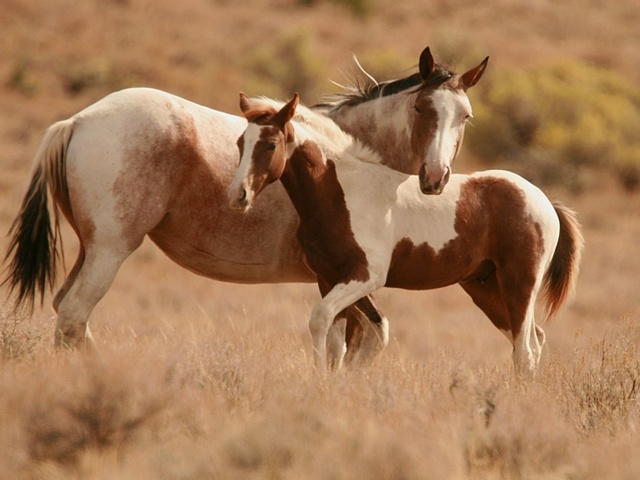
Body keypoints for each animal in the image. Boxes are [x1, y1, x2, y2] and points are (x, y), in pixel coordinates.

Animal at [2, 47, 488, 364]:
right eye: (423, 108)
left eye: (465, 116)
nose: (435, 177)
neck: (349, 161)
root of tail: (77, 121)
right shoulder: (343, 279)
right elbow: (355, 343)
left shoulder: (340, 281)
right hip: (109, 251)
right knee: (73, 316)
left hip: (90, 249)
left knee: (68, 315)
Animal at [228, 91, 584, 376]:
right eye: (240, 143)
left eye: (271, 144)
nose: (237, 195)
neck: (341, 192)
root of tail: (543, 200)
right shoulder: (329, 278)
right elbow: (335, 338)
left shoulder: (366, 276)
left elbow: (320, 318)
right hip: (486, 288)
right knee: (533, 341)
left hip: (519, 283)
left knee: (525, 349)